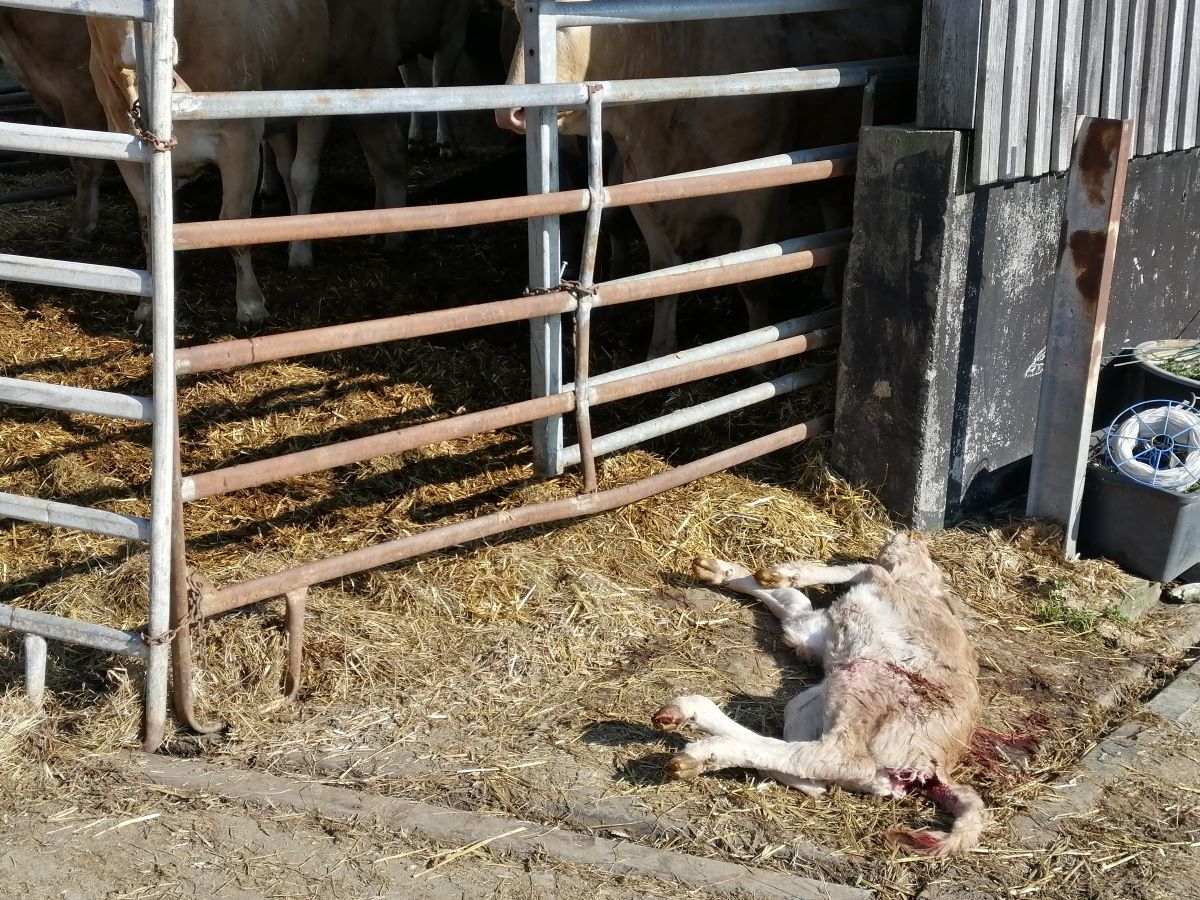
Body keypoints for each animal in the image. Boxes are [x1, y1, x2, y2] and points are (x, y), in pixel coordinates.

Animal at [85, 0, 408, 324]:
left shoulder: (241, 139)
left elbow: (234, 225)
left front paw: (251, 304)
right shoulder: (126, 147)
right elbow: (149, 226)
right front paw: (151, 304)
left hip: (350, 86)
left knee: (359, 162)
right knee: (291, 170)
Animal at [499, 7, 916, 360]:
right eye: (515, 14)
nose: (509, 113)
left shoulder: (764, 189)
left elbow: (754, 279)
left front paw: (758, 353)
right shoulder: (641, 191)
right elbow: (662, 276)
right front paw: (660, 350)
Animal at [657, 535, 984, 859]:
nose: (906, 535)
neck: (921, 588)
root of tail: (935, 769)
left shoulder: (869, 587)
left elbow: (857, 568)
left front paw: (778, 572)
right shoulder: (811, 629)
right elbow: (790, 599)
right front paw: (717, 569)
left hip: (864, 681)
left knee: (834, 757)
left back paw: (702, 748)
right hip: (819, 700)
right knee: (808, 766)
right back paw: (691, 719)